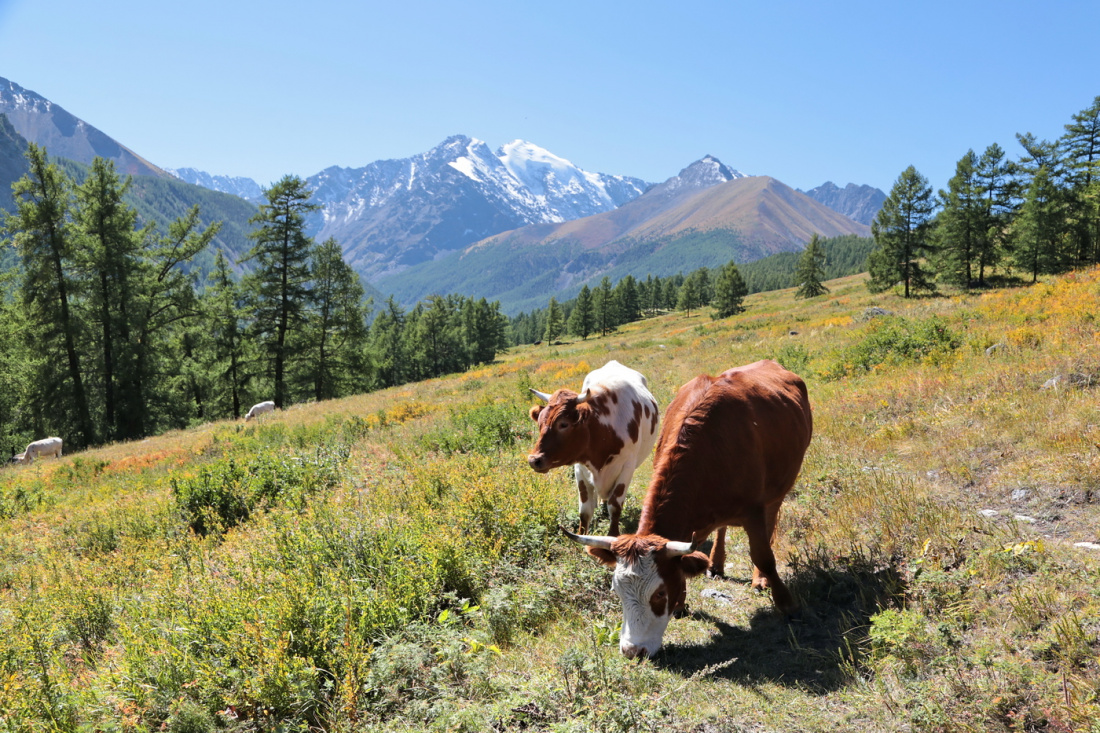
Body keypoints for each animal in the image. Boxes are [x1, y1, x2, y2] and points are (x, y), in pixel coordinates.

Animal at [525, 360, 655, 537]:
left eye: (563, 424)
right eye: (539, 423)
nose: (534, 460)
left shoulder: (627, 468)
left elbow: (615, 506)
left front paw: (613, 536)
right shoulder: (580, 469)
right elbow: (585, 510)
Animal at [563, 358, 814, 655]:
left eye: (660, 593)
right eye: (617, 591)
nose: (632, 650)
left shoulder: (753, 510)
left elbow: (763, 555)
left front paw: (787, 604)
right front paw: (682, 602)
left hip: (778, 490)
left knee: (771, 523)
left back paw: (759, 579)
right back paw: (716, 564)